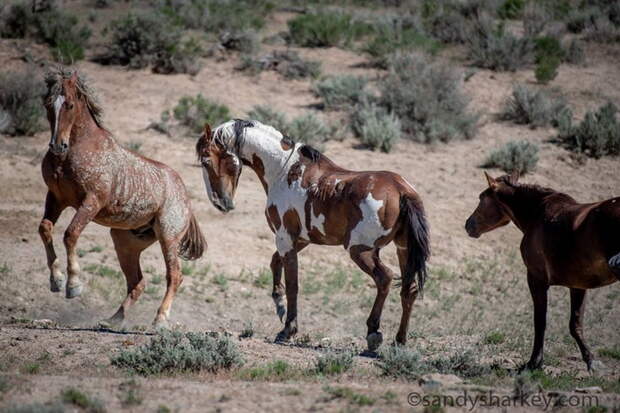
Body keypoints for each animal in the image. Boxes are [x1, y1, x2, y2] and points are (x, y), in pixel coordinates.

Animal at [38, 67, 206, 326]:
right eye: (48, 103)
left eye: (70, 104)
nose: (58, 146)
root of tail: (185, 196)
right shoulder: (56, 198)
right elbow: (45, 228)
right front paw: (56, 281)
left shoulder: (91, 201)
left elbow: (70, 234)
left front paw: (73, 285)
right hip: (125, 242)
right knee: (138, 282)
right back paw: (113, 320)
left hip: (168, 237)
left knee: (174, 275)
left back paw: (160, 319)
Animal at [196, 117, 428, 350]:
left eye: (206, 161)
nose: (221, 202)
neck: (284, 169)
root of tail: (401, 190)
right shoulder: (300, 239)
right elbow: (275, 263)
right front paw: (279, 305)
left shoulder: (285, 239)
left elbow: (293, 284)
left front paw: (288, 330)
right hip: (403, 250)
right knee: (409, 289)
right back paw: (399, 340)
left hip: (360, 251)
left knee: (385, 279)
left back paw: (373, 333)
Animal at [464, 171, 620, 370]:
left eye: (481, 198)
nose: (468, 225)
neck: (537, 214)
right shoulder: (578, 285)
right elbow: (575, 324)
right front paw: (591, 361)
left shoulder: (536, 279)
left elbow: (540, 322)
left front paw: (534, 363)